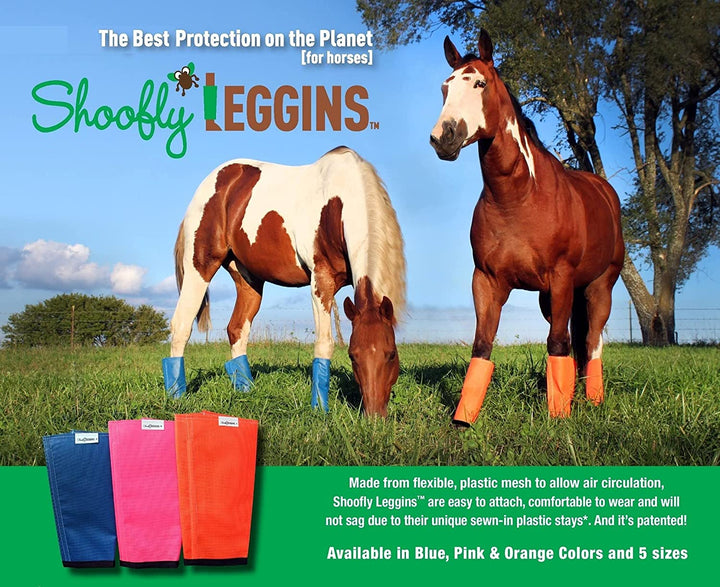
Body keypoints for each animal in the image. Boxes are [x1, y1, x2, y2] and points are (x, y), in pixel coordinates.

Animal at [161, 146, 406, 417]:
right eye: (353, 356)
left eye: (391, 354)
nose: (374, 417)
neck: (337, 205)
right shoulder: (321, 282)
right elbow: (324, 343)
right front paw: (319, 407)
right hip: (200, 268)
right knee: (181, 325)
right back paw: (177, 396)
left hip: (249, 280)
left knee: (236, 329)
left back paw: (246, 391)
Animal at [429, 31, 625, 425]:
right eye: (445, 87)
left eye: (480, 83)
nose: (443, 137)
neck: (517, 198)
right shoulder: (487, 281)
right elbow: (482, 346)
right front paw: (463, 418)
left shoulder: (561, 277)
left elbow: (557, 343)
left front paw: (559, 416)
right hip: (553, 297)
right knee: (579, 343)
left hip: (599, 286)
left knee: (592, 341)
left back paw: (593, 401)